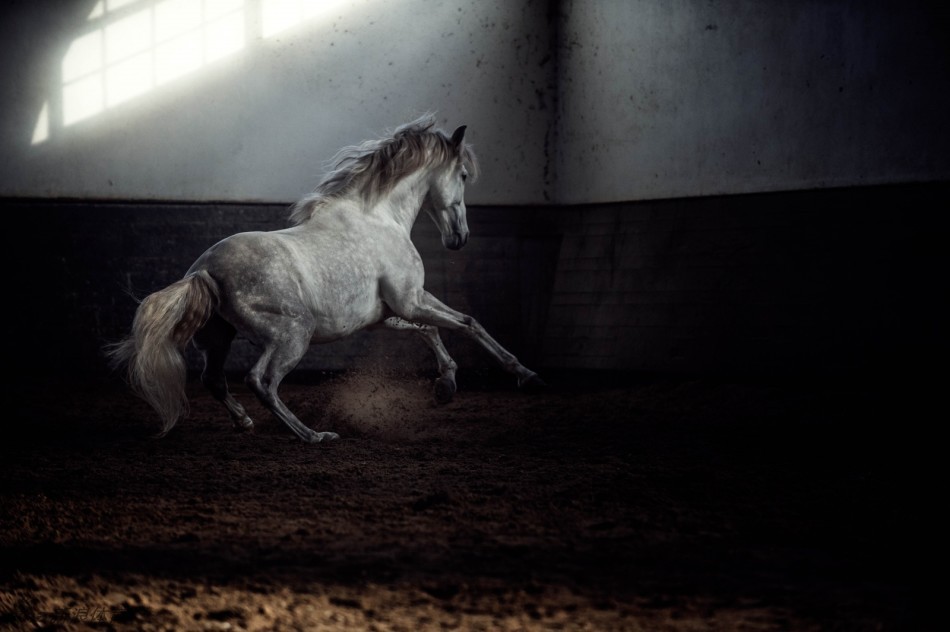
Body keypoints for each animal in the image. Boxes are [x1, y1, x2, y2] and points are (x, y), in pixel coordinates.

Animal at [106, 113, 544, 442]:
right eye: (464, 175)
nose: (459, 238)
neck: (378, 217)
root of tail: (203, 270)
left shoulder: (393, 311)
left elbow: (431, 330)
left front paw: (446, 386)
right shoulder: (410, 300)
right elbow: (468, 323)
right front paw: (525, 375)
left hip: (219, 338)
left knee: (214, 379)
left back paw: (246, 423)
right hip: (291, 333)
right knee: (261, 380)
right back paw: (313, 435)